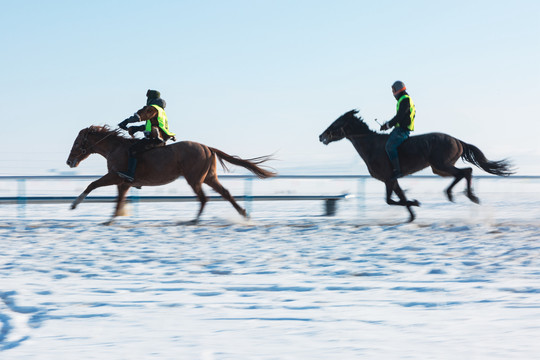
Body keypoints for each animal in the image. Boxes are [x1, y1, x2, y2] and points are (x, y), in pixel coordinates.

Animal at [67, 125, 276, 224]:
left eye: (77, 142)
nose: (69, 162)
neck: (115, 148)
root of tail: (207, 147)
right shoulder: (123, 183)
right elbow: (118, 202)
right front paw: (110, 220)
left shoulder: (117, 177)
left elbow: (92, 185)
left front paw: (74, 205)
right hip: (208, 178)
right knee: (225, 194)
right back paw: (243, 214)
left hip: (194, 179)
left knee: (204, 198)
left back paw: (194, 220)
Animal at [320, 109, 516, 222]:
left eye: (336, 123)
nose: (321, 136)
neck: (371, 145)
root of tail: (456, 140)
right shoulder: (391, 180)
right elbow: (397, 198)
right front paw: (412, 212)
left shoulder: (389, 178)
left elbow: (392, 200)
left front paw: (414, 203)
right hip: (438, 168)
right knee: (463, 173)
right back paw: (459, 194)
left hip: (441, 164)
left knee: (465, 172)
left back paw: (465, 195)